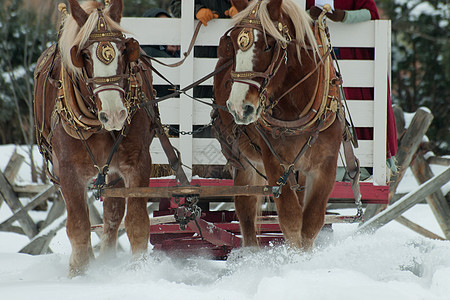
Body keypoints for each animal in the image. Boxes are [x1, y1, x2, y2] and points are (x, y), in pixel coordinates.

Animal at [33, 0, 156, 276]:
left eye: (124, 49)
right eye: (85, 55)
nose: (114, 114)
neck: (97, 127)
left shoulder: (137, 163)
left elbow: (136, 222)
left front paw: (140, 271)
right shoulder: (68, 171)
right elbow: (78, 225)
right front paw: (79, 272)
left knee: (112, 214)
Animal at [214, 0, 344, 251]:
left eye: (268, 45)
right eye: (232, 43)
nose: (239, 106)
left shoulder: (326, 166)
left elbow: (311, 223)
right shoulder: (274, 162)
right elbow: (291, 220)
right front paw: (292, 258)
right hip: (244, 161)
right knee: (245, 209)